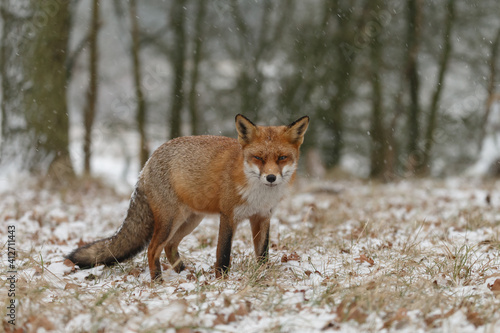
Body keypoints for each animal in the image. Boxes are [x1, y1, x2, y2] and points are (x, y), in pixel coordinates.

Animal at [66, 114, 308, 280]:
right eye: (258, 158)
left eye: (282, 158)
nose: (271, 177)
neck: (258, 192)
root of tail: (147, 164)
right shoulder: (228, 216)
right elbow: (223, 254)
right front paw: (222, 281)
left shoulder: (262, 216)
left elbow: (263, 253)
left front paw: (263, 275)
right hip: (170, 221)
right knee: (153, 249)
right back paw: (158, 281)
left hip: (190, 220)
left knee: (169, 247)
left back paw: (185, 275)